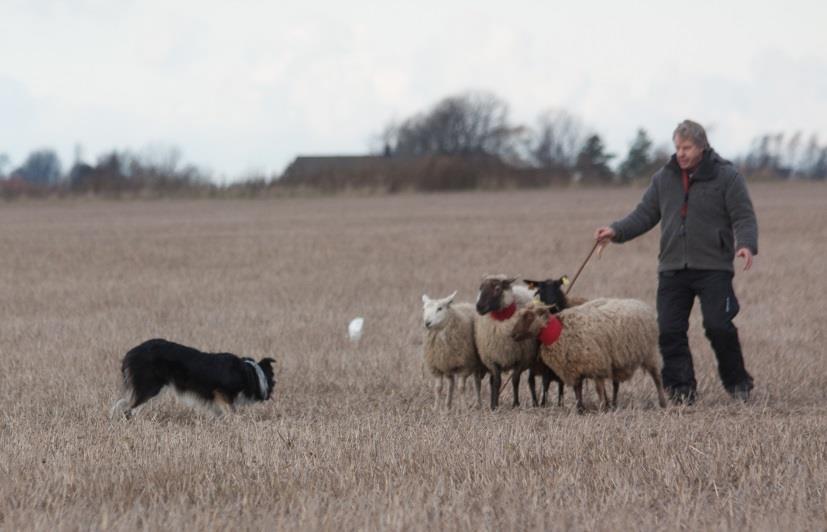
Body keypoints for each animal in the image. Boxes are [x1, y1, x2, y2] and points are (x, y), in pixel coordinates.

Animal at [512, 298, 672, 414]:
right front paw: (580, 409)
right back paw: (614, 404)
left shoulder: (596, 365)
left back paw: (663, 403)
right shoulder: (574, 368)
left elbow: (598, 389)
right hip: (618, 360)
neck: (560, 332)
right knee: (616, 385)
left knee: (657, 378)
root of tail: (641, 304)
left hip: (650, 352)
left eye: (529, 316)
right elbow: (577, 390)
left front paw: (601, 408)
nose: (513, 335)